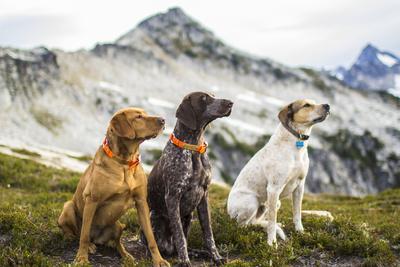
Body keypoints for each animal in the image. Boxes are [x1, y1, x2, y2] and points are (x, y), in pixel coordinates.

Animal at [57, 108, 169, 266]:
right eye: (138, 117)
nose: (163, 120)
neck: (125, 162)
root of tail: (97, 238)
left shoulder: (141, 202)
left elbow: (151, 237)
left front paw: (159, 260)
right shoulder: (92, 200)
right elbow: (84, 235)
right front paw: (81, 258)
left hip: (118, 225)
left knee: (117, 242)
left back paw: (126, 255)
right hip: (68, 207)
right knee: (76, 234)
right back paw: (83, 244)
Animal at [227, 100, 330, 247]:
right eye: (306, 105)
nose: (328, 106)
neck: (296, 143)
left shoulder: (300, 186)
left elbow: (297, 214)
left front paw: (300, 232)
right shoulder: (274, 189)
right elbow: (272, 221)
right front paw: (271, 243)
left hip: (274, 204)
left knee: (254, 222)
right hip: (251, 202)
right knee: (242, 225)